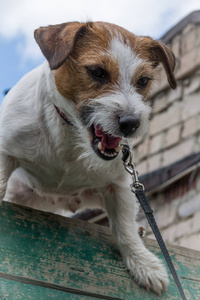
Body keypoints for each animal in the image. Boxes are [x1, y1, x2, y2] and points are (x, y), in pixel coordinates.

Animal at [0, 21, 176, 296]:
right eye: (97, 72)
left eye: (143, 80)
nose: (131, 124)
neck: (70, 132)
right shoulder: (5, 152)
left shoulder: (119, 185)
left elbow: (124, 227)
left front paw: (143, 264)